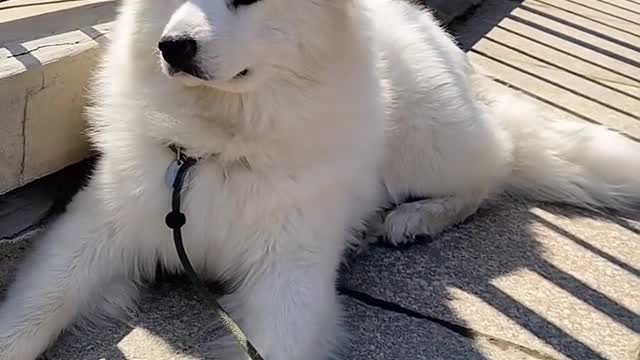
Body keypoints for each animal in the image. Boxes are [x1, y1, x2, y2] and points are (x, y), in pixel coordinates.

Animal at [1, 0, 640, 360]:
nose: (172, 47)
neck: (222, 143)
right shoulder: (101, 230)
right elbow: (36, 310)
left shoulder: (288, 275)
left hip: (427, 139)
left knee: (492, 169)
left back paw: (411, 218)